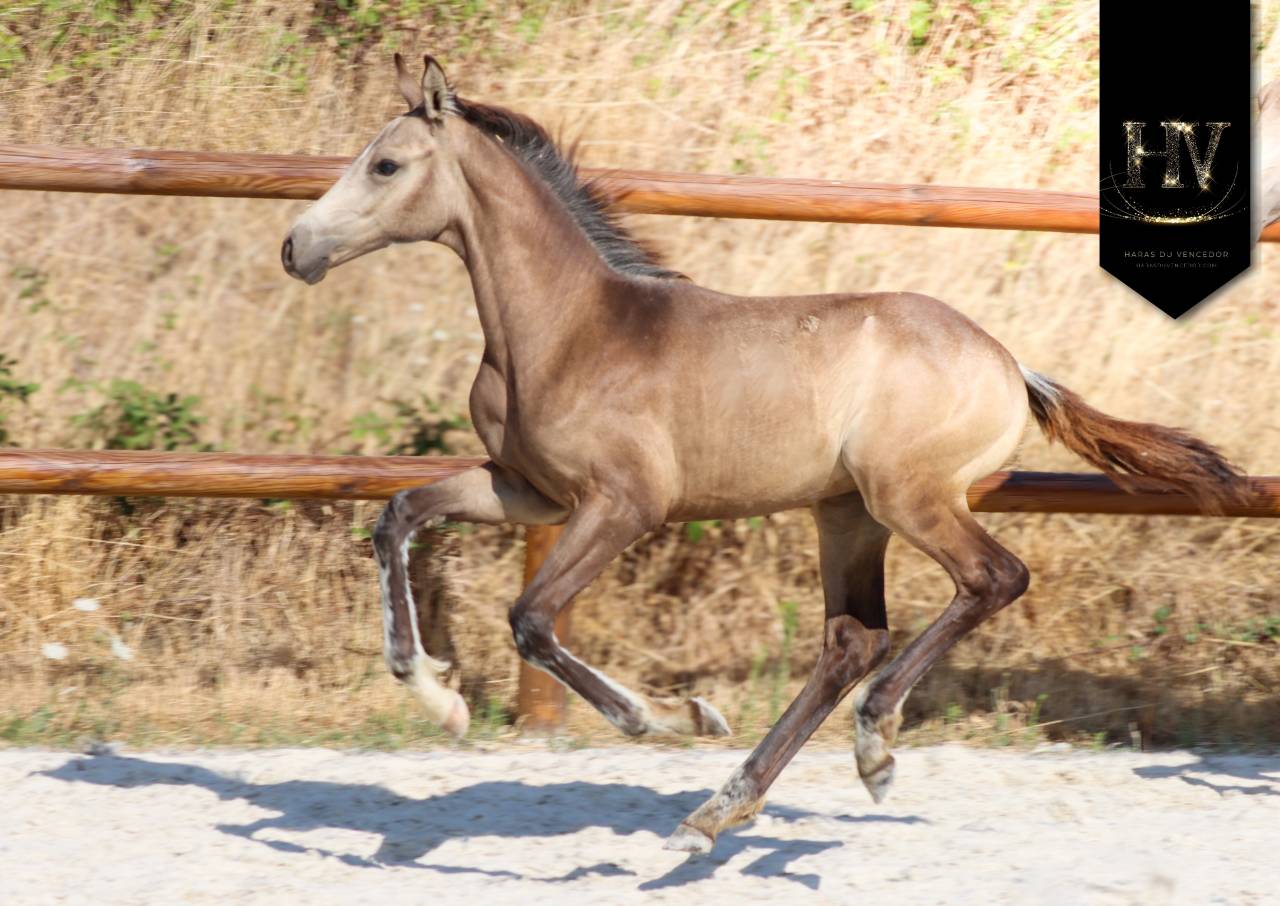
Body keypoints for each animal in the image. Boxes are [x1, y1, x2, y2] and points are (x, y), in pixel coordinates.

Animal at [281, 55, 1245, 854]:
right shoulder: (529, 491)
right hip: (846, 514)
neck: (569, 329)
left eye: (386, 165)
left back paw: (870, 743)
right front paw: (437, 696)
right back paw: (723, 809)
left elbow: (533, 618)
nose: (296, 248)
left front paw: (678, 715)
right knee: (852, 639)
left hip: (908, 497)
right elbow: (397, 516)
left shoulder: (624, 505)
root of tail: (1010, 365)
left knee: (989, 580)